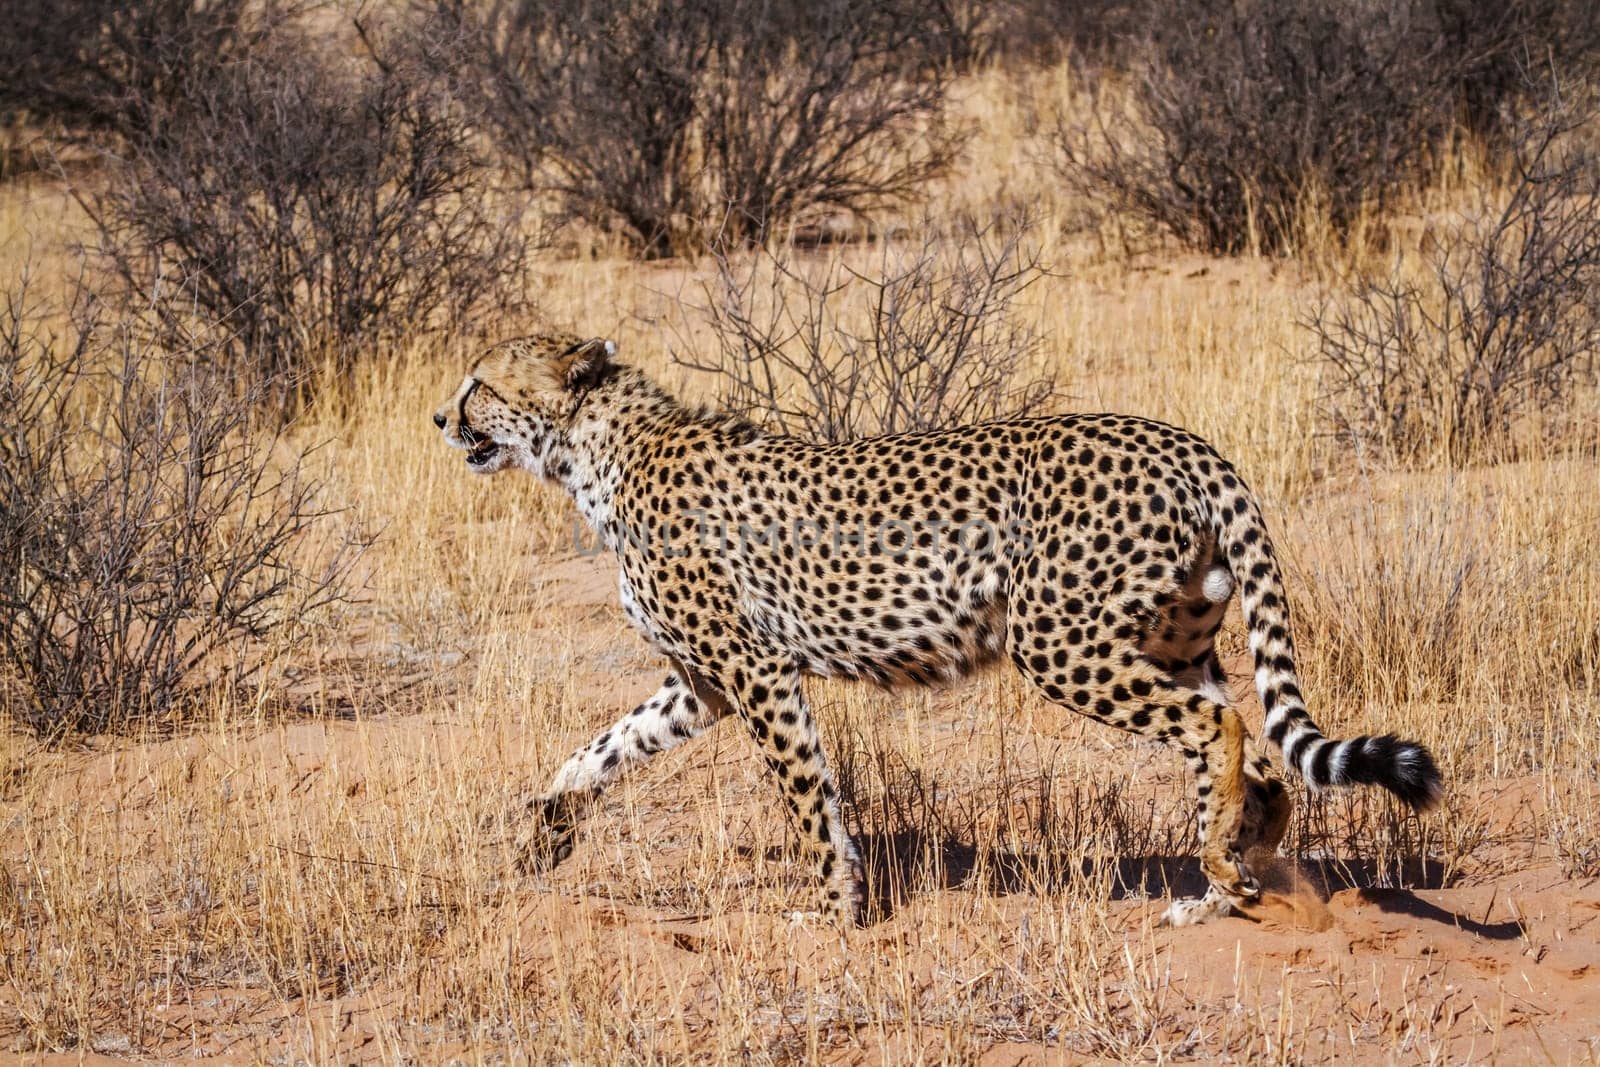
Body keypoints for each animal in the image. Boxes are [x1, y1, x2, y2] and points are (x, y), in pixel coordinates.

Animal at [432, 334, 1446, 927]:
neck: (596, 457)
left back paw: (1215, 872)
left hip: (1059, 641)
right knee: (1262, 764)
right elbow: (601, 748)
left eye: (479, 382)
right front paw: (547, 827)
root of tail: (1182, 439)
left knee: (1220, 726)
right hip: (1169, 639)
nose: (441, 416)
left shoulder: (757, 671)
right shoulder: (704, 682)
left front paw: (834, 911)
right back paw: (1233, 873)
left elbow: (807, 796)